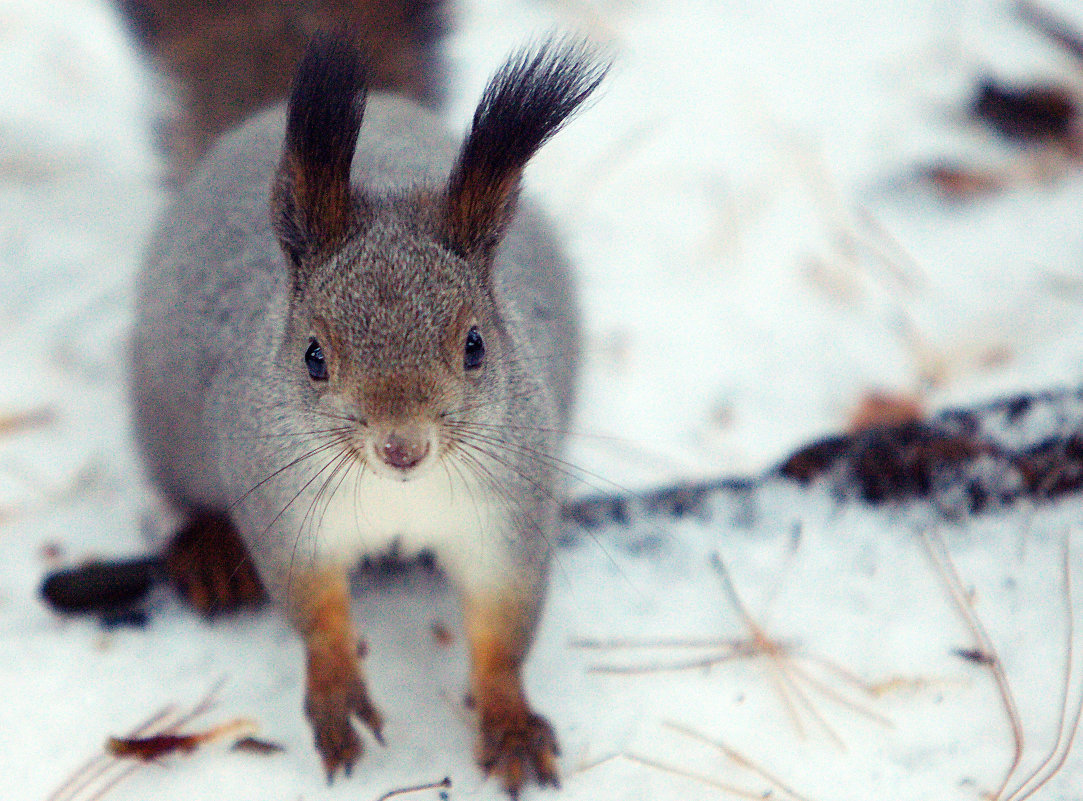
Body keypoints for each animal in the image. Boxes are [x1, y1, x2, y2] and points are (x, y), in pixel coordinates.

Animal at [127, 23, 610, 796]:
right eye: (313, 356)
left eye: (475, 345)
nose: (401, 445)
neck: (399, 495)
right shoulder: (284, 503)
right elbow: (314, 607)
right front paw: (336, 692)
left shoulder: (508, 513)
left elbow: (502, 628)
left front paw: (509, 721)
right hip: (168, 424)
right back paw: (210, 552)